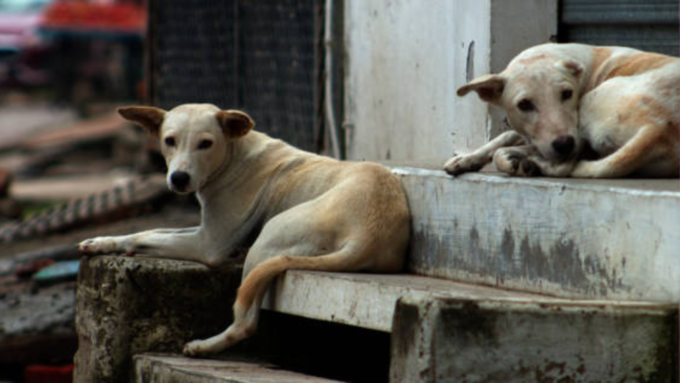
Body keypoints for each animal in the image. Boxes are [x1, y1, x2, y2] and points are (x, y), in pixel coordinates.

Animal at [79, 104, 410, 356]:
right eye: (169, 140)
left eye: (205, 143)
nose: (179, 178)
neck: (234, 154)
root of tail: (367, 237)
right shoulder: (206, 229)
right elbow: (154, 229)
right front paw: (102, 241)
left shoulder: (209, 245)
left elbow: (146, 234)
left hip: (268, 239)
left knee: (246, 323)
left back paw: (204, 346)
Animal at [446, 43, 680, 178]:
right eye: (524, 105)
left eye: (567, 94)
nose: (564, 144)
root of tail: (658, 129)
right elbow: (505, 136)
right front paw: (466, 159)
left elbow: (507, 143)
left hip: (587, 111)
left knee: (563, 167)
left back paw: (528, 161)